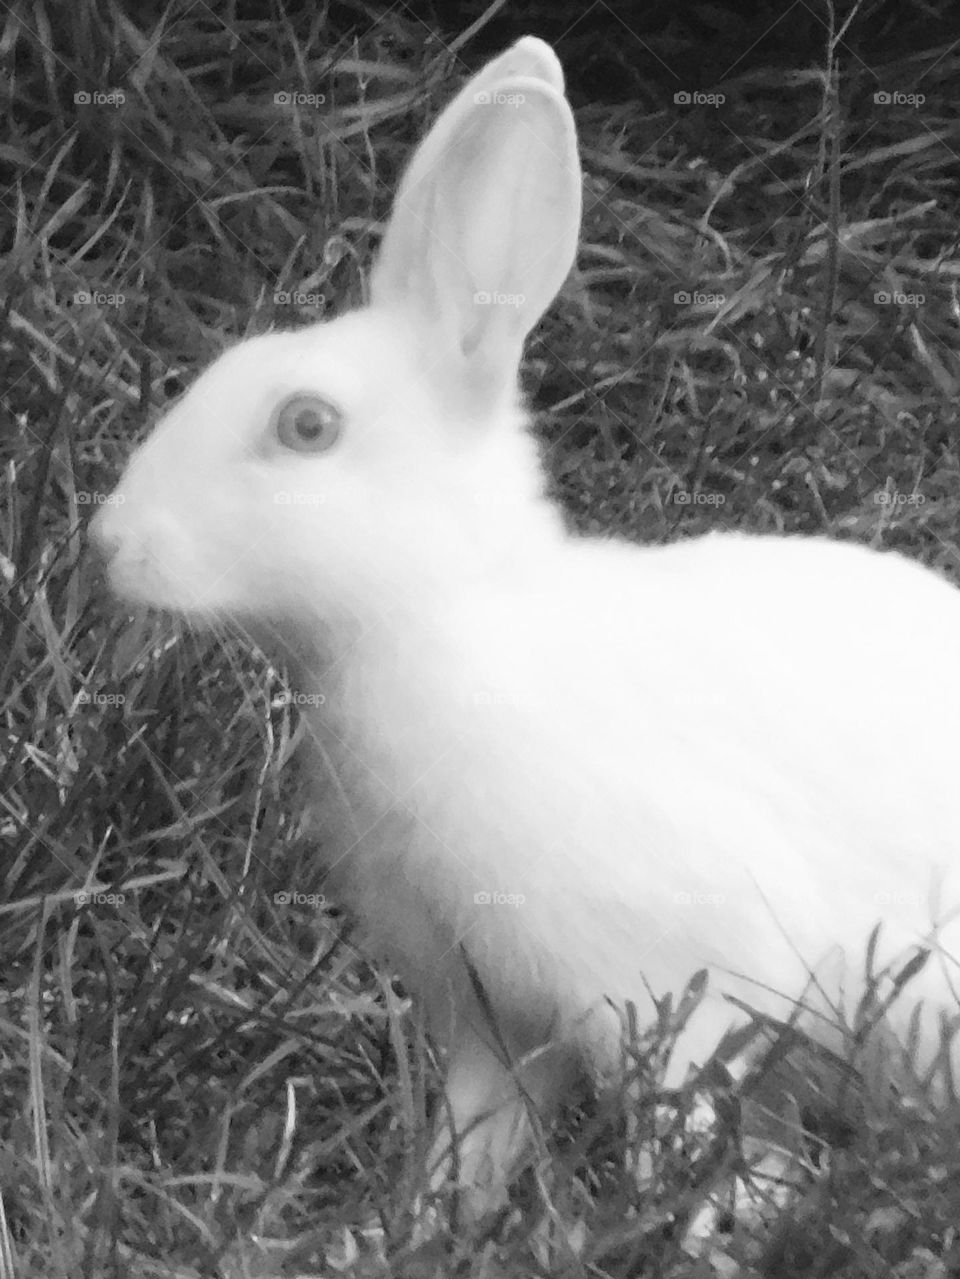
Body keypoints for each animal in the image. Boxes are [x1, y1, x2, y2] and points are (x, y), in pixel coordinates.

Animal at [90, 33, 960, 1226]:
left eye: (306, 426)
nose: (110, 543)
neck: (448, 615)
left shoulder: (666, 985)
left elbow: (681, 1127)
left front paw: (699, 1229)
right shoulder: (497, 1017)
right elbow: (476, 1135)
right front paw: (418, 1221)